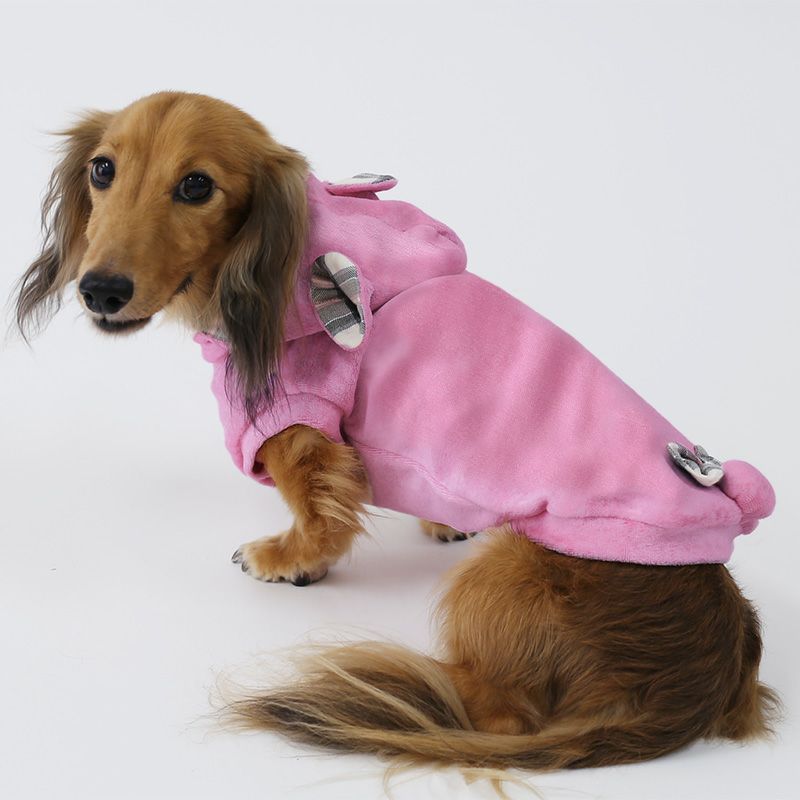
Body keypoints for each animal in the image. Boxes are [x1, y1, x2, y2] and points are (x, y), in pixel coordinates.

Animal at [15, 91, 778, 771]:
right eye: (103, 169)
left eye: (197, 184)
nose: (100, 289)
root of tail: (712, 662)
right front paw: (444, 519)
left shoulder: (298, 423)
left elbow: (319, 512)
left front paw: (288, 558)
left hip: (510, 576)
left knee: (499, 714)